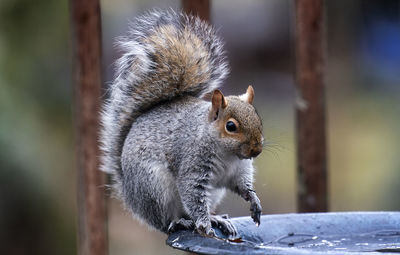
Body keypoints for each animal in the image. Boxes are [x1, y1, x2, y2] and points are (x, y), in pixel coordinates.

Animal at [99, 9, 262, 237]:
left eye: (257, 117)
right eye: (231, 126)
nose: (256, 150)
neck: (228, 155)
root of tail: (132, 198)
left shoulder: (238, 172)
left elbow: (242, 186)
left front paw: (254, 201)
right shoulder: (193, 165)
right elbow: (193, 195)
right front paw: (204, 225)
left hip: (213, 193)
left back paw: (216, 219)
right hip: (154, 188)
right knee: (165, 222)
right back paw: (180, 223)